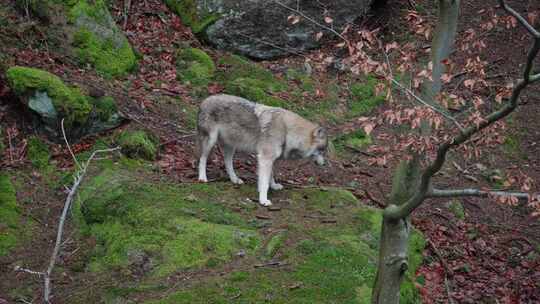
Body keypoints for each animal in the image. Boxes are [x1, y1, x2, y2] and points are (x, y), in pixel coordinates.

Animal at [197, 94, 326, 205]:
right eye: (322, 151)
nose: (324, 164)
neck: (287, 131)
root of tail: (205, 100)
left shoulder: (271, 159)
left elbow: (271, 175)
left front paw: (274, 186)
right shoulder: (265, 159)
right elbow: (264, 183)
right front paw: (263, 200)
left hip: (231, 146)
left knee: (227, 162)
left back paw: (235, 179)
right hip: (211, 141)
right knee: (202, 158)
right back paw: (202, 178)